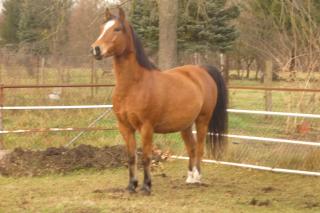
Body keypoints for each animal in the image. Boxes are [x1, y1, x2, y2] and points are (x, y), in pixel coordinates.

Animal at [90, 7, 228, 195]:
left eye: (117, 29)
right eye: (101, 28)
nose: (96, 49)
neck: (134, 85)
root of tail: (201, 70)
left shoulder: (146, 127)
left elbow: (146, 157)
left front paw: (146, 187)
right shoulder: (125, 127)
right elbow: (131, 157)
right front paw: (131, 186)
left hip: (202, 120)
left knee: (199, 148)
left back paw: (198, 178)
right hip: (185, 125)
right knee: (191, 148)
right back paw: (190, 178)